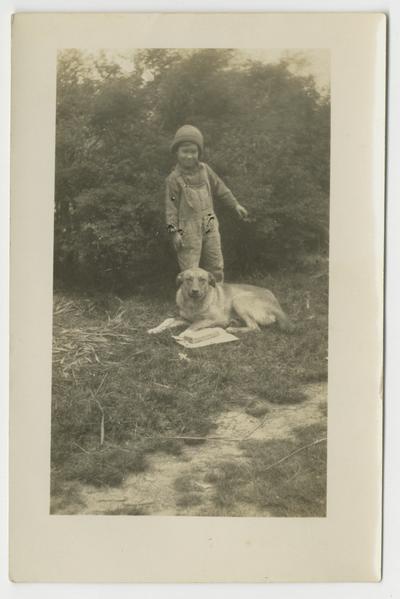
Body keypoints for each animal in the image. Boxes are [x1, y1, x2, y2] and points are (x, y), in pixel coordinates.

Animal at [147, 268, 290, 336]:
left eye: (202, 280)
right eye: (188, 279)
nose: (195, 291)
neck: (193, 304)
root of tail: (276, 304)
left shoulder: (213, 319)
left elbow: (193, 325)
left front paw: (183, 335)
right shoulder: (184, 318)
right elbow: (168, 320)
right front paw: (154, 329)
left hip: (238, 300)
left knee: (255, 327)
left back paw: (233, 329)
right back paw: (234, 322)